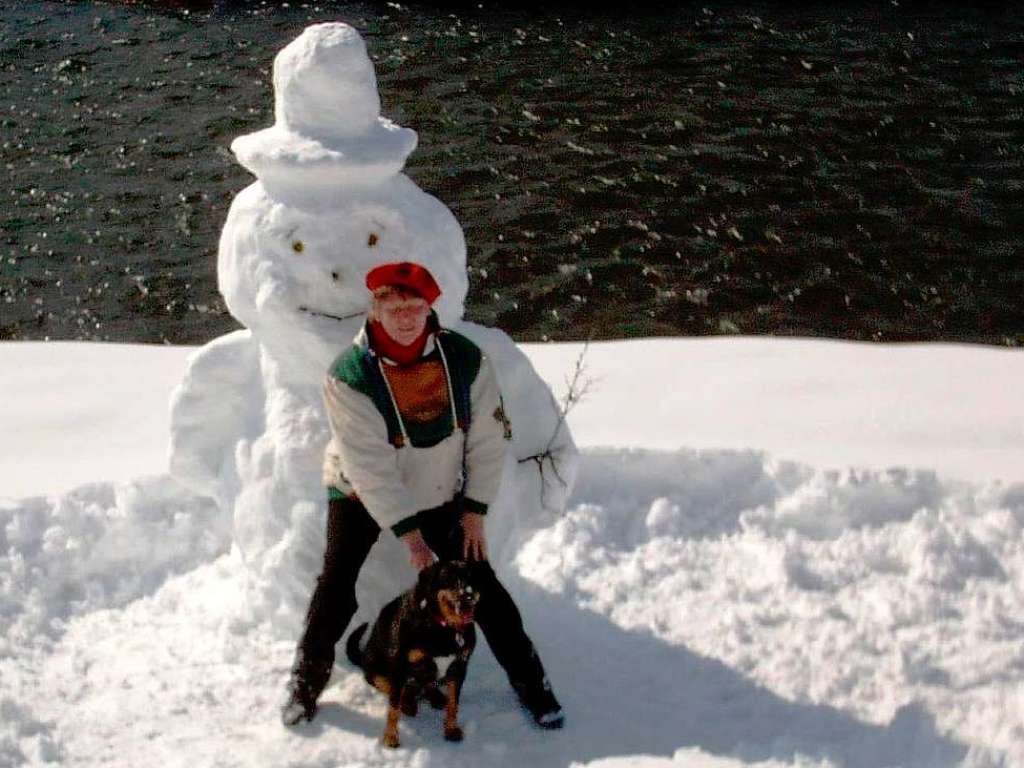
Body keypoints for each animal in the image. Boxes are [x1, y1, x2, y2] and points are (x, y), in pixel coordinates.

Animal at [348, 561, 479, 753]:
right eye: (449, 578)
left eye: (472, 578)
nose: (469, 596)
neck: (443, 627)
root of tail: (364, 655)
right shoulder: (400, 666)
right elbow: (393, 708)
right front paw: (391, 737)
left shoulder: (460, 667)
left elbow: (454, 703)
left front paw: (451, 729)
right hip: (376, 671)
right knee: (393, 689)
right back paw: (408, 703)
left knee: (428, 687)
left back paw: (436, 698)